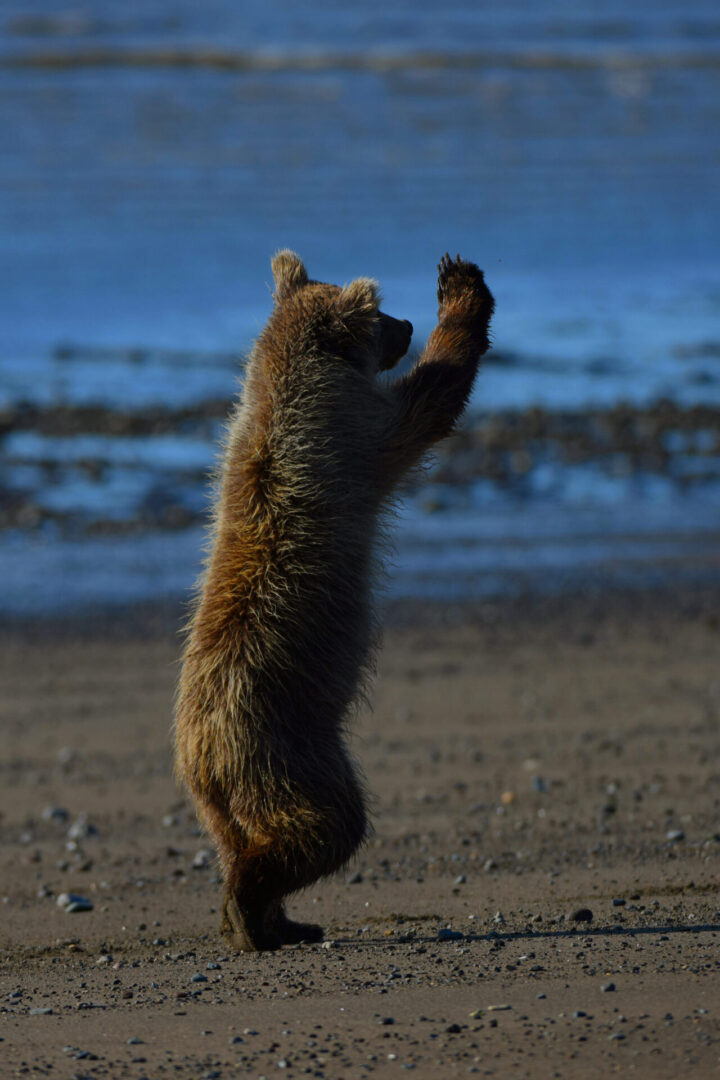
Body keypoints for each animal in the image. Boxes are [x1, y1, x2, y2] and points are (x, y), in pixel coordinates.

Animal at [172, 248, 496, 950]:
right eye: (382, 314)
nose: (406, 324)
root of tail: (204, 754)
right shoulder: (353, 434)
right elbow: (430, 402)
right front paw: (460, 290)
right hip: (290, 752)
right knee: (325, 827)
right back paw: (249, 910)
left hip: (224, 796)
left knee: (242, 840)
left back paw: (283, 920)